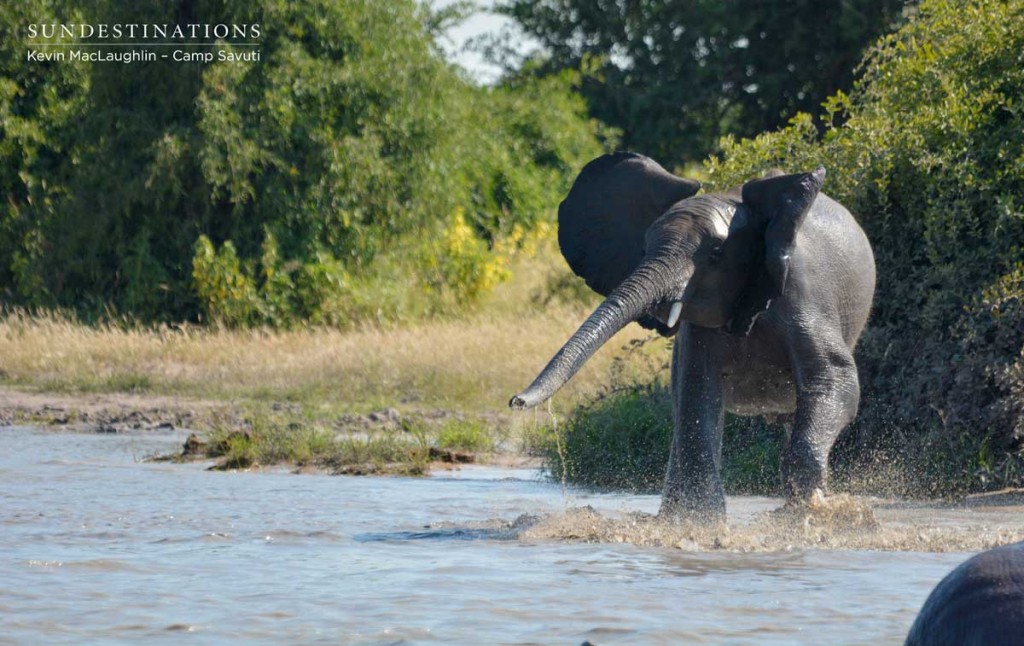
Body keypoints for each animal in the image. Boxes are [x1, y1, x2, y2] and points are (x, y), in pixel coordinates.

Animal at [507, 151, 876, 520]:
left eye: (714, 255)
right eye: (643, 249)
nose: (516, 402)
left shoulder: (804, 297)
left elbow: (835, 381)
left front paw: (806, 513)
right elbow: (697, 392)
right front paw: (700, 522)